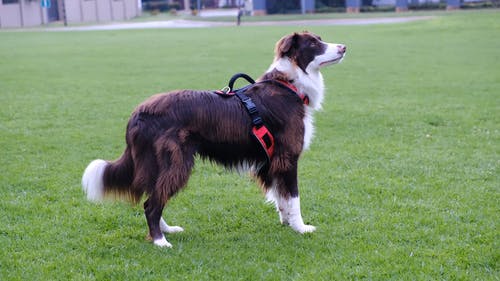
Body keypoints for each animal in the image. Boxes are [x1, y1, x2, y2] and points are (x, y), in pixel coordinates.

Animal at [83, 31, 348, 247]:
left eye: (320, 39)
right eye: (313, 44)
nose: (344, 47)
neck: (289, 85)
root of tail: (137, 114)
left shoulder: (270, 160)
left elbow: (281, 197)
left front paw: (288, 223)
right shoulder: (287, 156)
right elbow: (294, 197)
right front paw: (301, 228)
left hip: (155, 163)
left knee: (152, 196)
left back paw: (166, 229)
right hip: (177, 162)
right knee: (151, 204)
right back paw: (160, 241)